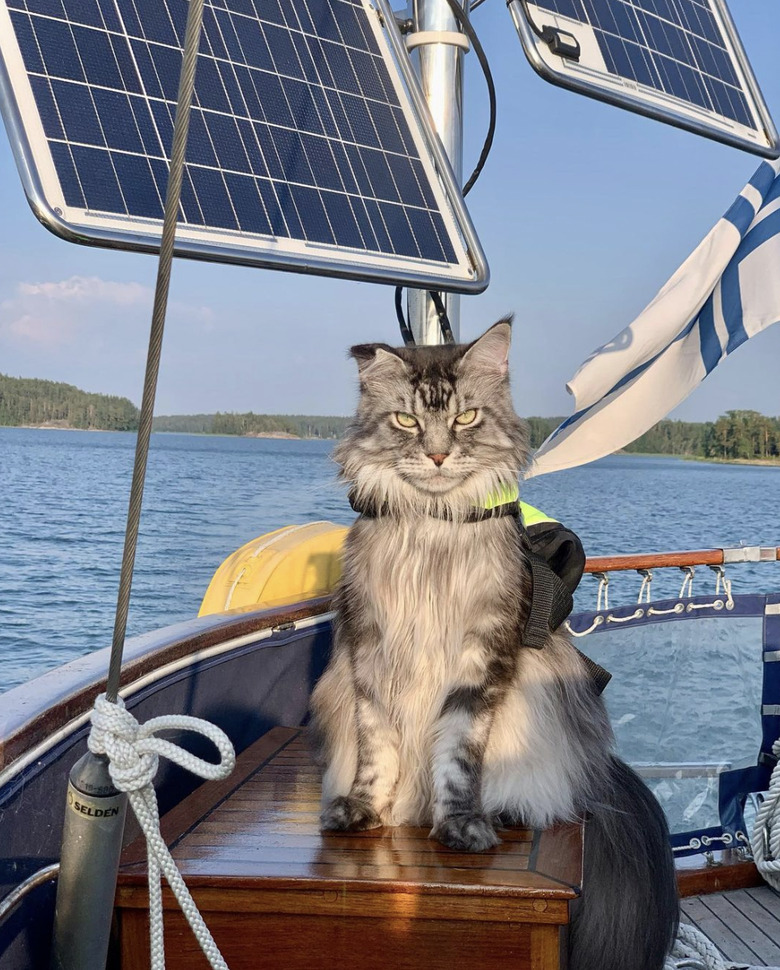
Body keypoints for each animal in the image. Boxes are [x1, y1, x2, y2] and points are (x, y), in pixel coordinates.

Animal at [310, 320, 676, 968]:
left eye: (466, 417)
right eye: (406, 420)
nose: (437, 453)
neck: (433, 524)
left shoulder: (484, 656)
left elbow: (458, 755)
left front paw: (460, 825)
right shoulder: (370, 652)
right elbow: (377, 746)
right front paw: (365, 809)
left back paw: (505, 808)